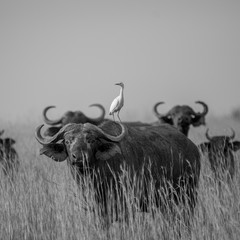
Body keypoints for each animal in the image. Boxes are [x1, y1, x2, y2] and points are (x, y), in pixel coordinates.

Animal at [35, 120, 201, 219]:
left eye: (91, 140)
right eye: (68, 141)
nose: (79, 157)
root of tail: (192, 147)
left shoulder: (126, 206)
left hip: (189, 195)